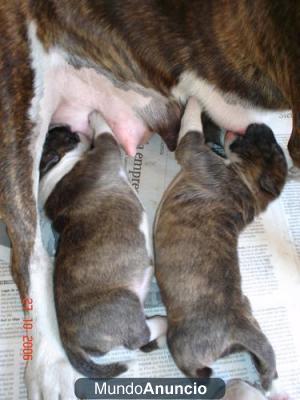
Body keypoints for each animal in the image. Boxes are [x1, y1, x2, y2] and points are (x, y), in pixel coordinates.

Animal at [38, 113, 165, 378]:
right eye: (65, 135)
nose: (65, 125)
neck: (54, 170)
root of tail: (69, 341)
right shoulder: (106, 151)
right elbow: (106, 134)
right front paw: (96, 115)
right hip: (125, 302)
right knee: (139, 337)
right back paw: (163, 323)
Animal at [155, 98, 288, 392]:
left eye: (273, 146)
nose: (261, 125)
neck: (250, 189)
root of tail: (236, 326)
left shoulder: (193, 150)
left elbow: (191, 126)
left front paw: (196, 99)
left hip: (183, 344)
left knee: (196, 371)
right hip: (251, 324)